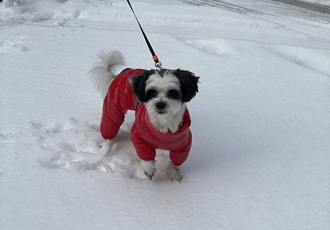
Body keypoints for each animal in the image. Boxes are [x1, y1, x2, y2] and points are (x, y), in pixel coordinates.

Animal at [89, 49, 199, 181]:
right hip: (113, 109)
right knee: (109, 126)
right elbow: (146, 156)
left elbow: (176, 162)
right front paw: (149, 169)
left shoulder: (183, 145)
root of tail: (121, 73)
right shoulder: (139, 137)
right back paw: (105, 144)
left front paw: (174, 175)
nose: (160, 104)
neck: (163, 124)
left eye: (172, 93)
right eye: (152, 92)